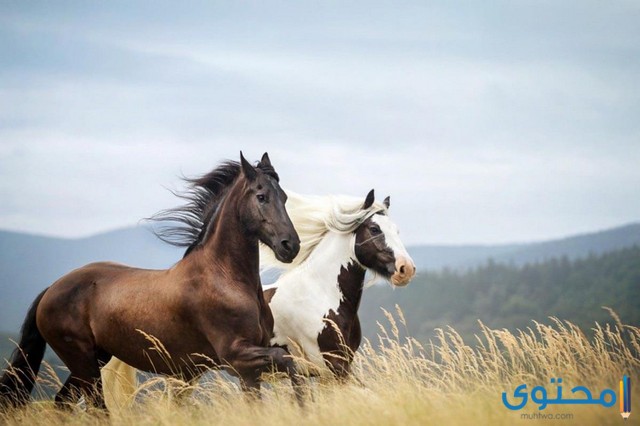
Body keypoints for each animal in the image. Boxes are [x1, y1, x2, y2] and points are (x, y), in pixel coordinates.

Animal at [0, 152, 302, 410]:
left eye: (284, 197)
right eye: (261, 196)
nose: (290, 246)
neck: (225, 277)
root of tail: (52, 289)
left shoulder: (249, 369)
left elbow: (286, 368)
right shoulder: (236, 356)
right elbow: (287, 361)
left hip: (94, 359)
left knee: (63, 403)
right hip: (82, 360)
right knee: (96, 408)